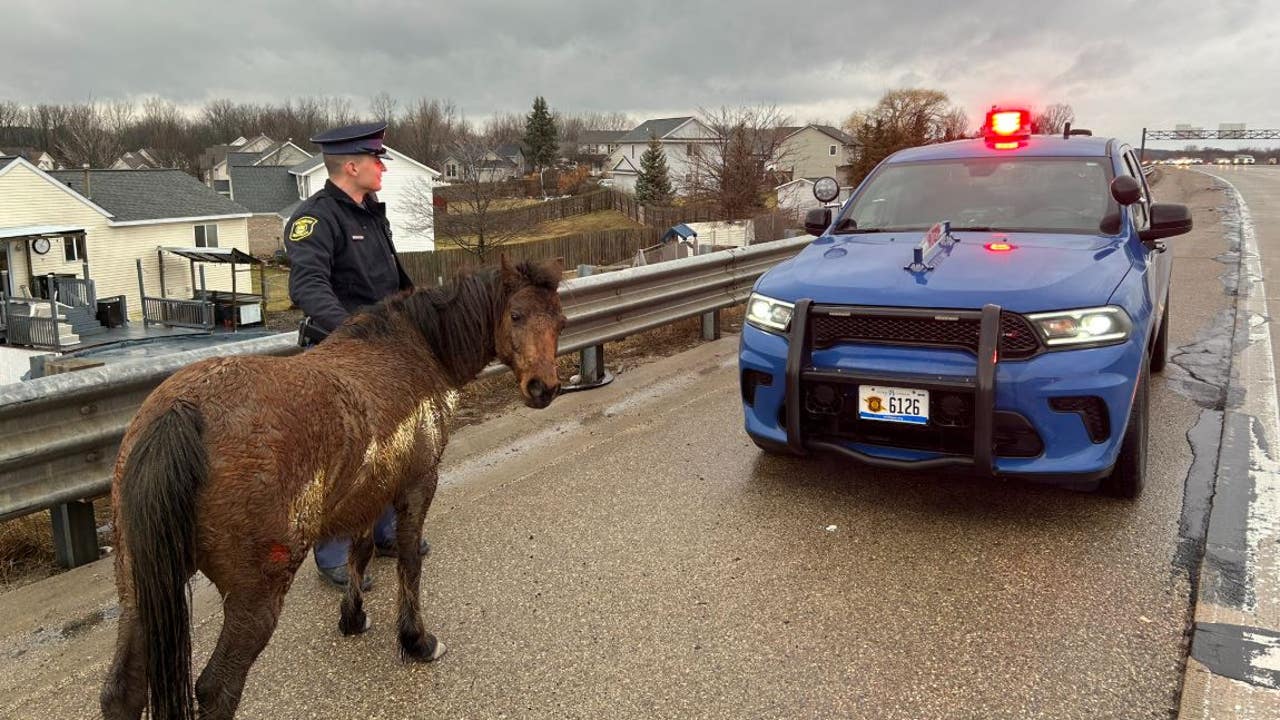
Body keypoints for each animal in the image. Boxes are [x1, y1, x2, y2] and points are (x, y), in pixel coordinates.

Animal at [98, 254, 560, 712]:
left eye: (558, 319)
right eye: (516, 315)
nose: (544, 387)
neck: (416, 349)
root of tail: (182, 410)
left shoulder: (367, 493)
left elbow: (361, 552)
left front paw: (352, 617)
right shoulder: (417, 484)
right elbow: (409, 561)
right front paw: (416, 641)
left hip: (137, 591)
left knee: (123, 690)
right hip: (254, 597)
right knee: (217, 688)